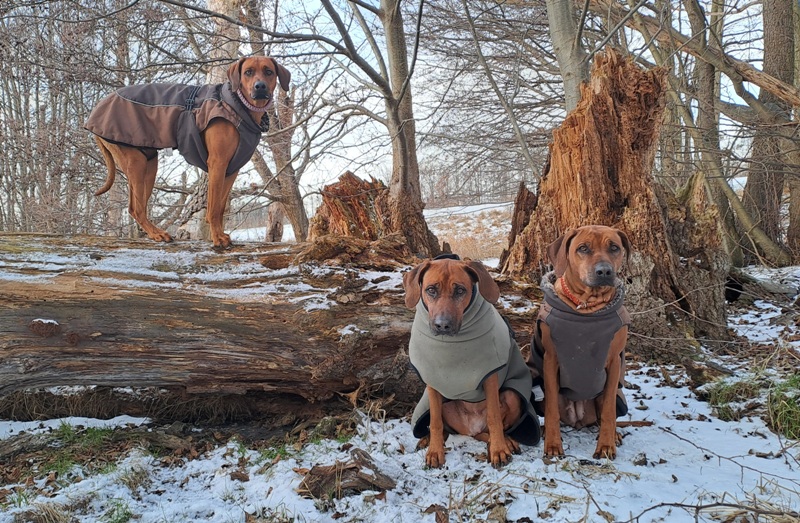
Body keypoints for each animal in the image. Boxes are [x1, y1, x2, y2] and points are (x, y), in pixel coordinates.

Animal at [85, 56, 291, 248]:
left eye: (269, 71)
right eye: (248, 72)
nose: (260, 86)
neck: (236, 106)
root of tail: (95, 112)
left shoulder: (231, 169)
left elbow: (220, 206)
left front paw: (219, 233)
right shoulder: (218, 163)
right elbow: (213, 208)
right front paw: (217, 238)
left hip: (148, 163)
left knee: (136, 205)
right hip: (136, 162)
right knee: (136, 208)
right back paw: (157, 234)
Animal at [404, 255, 541, 468]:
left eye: (460, 290)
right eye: (431, 290)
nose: (442, 325)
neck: (452, 346)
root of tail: (471, 428)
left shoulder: (490, 376)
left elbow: (494, 418)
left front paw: (499, 449)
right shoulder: (433, 383)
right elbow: (435, 422)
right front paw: (434, 451)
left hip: (511, 396)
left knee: (493, 428)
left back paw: (505, 442)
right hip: (447, 407)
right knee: (447, 427)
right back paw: (427, 439)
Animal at [528, 225, 631, 459]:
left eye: (614, 247)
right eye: (583, 248)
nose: (604, 272)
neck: (587, 309)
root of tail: (578, 419)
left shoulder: (614, 363)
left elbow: (609, 411)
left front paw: (606, 445)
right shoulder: (551, 360)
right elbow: (552, 411)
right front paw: (553, 444)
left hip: (607, 397)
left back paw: (614, 435)